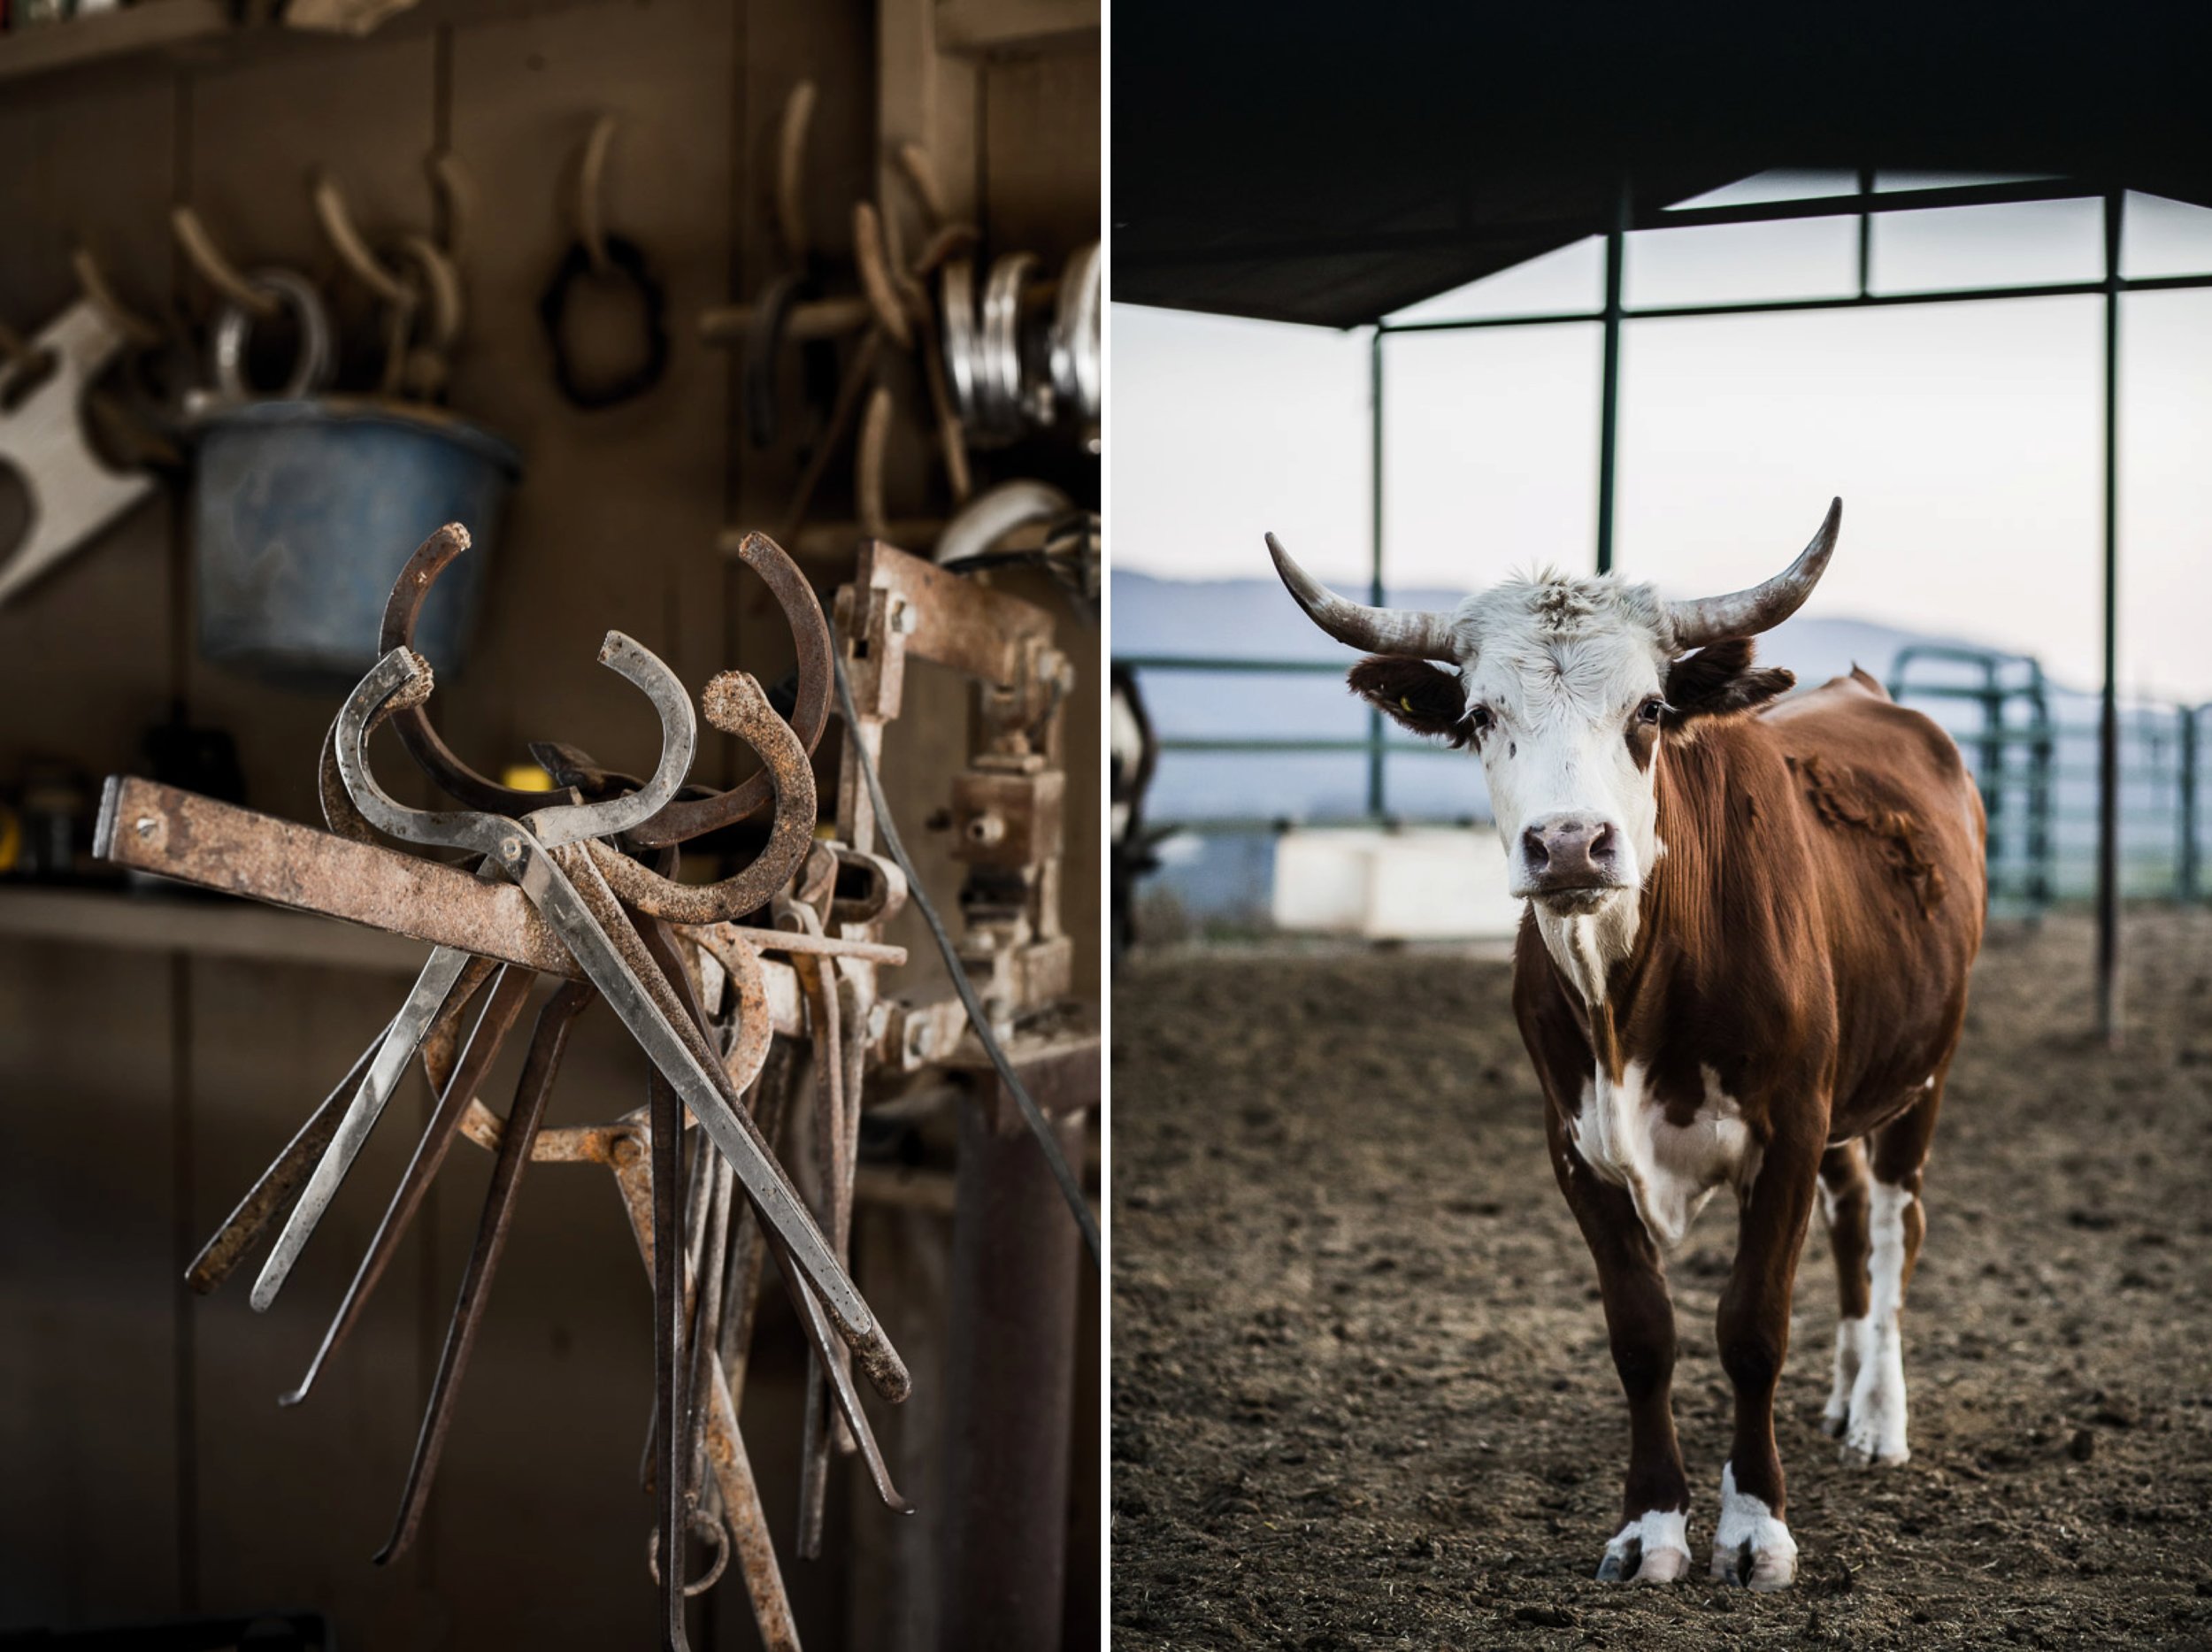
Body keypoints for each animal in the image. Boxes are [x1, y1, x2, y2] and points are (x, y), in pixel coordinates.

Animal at [1265, 499, 1991, 1592]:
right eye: (1480, 716)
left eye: (1647, 710)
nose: (1569, 843)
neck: (1632, 1000)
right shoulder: (1578, 1147)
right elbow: (1642, 1334)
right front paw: (1651, 1525)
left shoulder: (1786, 1129)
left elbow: (1751, 1326)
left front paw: (1755, 1528)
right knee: (1852, 1217)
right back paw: (1841, 1394)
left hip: (1922, 1077)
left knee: (1895, 1226)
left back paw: (1877, 1414)